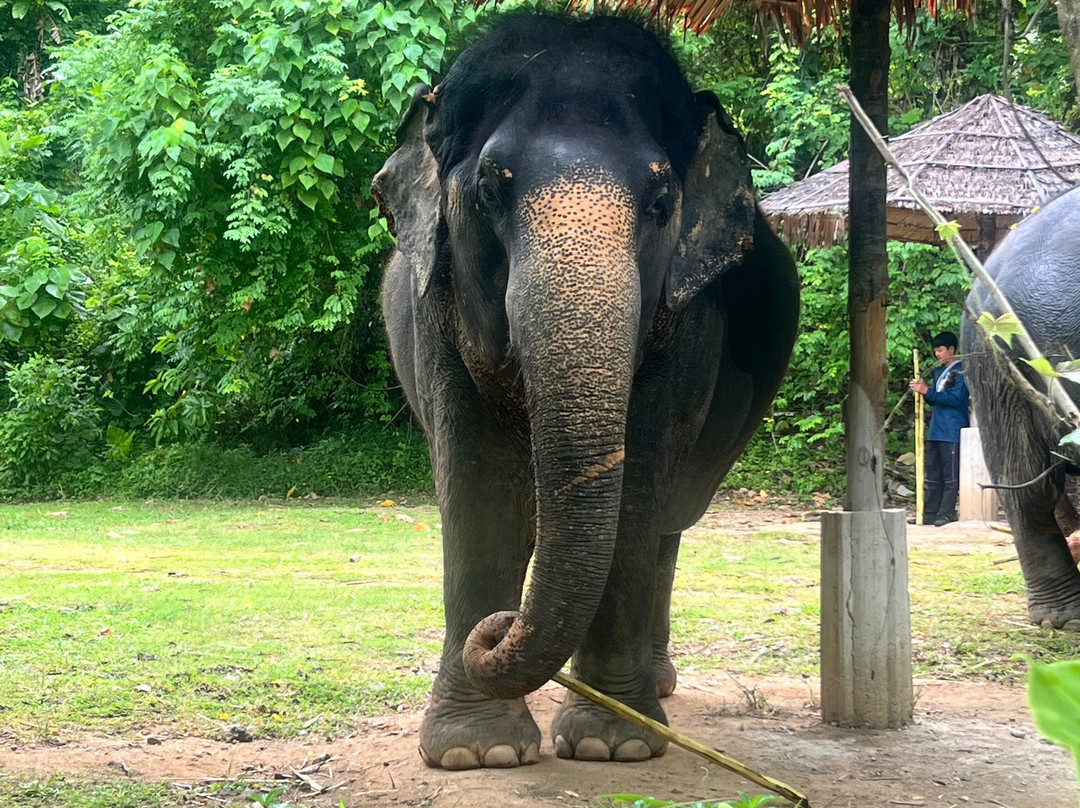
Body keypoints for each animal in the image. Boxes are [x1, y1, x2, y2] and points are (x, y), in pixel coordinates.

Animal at [372, 13, 799, 770]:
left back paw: (653, 686)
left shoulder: (685, 325)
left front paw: (612, 744)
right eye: (489, 191)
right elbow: (477, 482)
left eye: (661, 203)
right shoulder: (435, 313)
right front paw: (476, 753)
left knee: (667, 524)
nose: (497, 628)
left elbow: (636, 490)